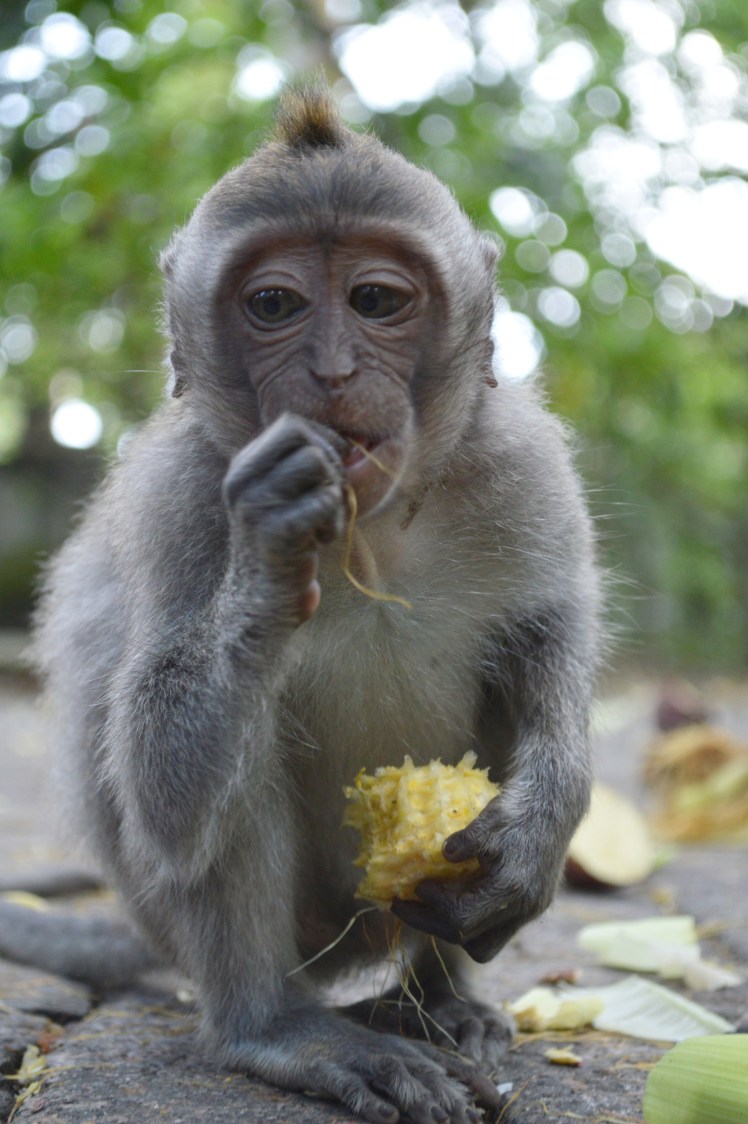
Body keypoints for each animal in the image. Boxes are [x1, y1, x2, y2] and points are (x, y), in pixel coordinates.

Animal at [2, 84, 600, 1123]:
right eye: (274, 304)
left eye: (376, 300)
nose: (330, 372)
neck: (371, 531)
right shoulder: (179, 497)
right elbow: (162, 799)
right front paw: (272, 548)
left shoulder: (521, 461)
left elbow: (546, 632)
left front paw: (546, 823)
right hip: (247, 929)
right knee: (233, 771)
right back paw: (280, 1031)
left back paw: (439, 999)